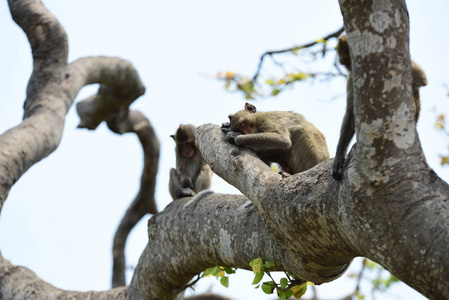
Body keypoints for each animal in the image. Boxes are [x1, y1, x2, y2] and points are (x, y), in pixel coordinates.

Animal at [330, 35, 428, 180]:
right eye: (346, 64)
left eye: (352, 63)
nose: (351, 70)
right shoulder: (352, 79)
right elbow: (351, 112)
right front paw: (338, 158)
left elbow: (422, 79)